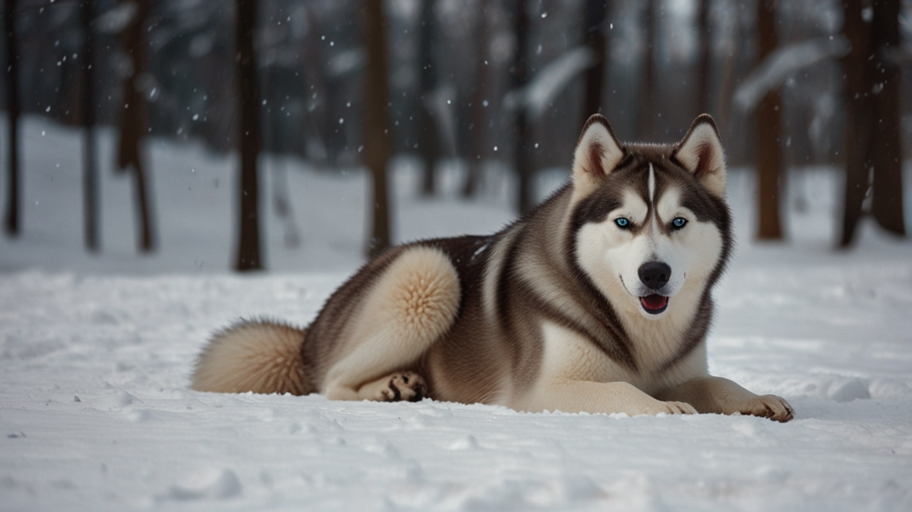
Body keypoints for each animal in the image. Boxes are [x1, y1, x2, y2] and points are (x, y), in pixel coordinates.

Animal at [192, 114, 792, 422]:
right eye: (624, 222)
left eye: (678, 222)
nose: (654, 275)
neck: (637, 331)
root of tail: (309, 333)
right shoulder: (540, 390)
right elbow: (624, 393)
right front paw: (664, 411)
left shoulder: (681, 370)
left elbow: (716, 382)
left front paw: (757, 398)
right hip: (427, 272)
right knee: (332, 383)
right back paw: (387, 390)